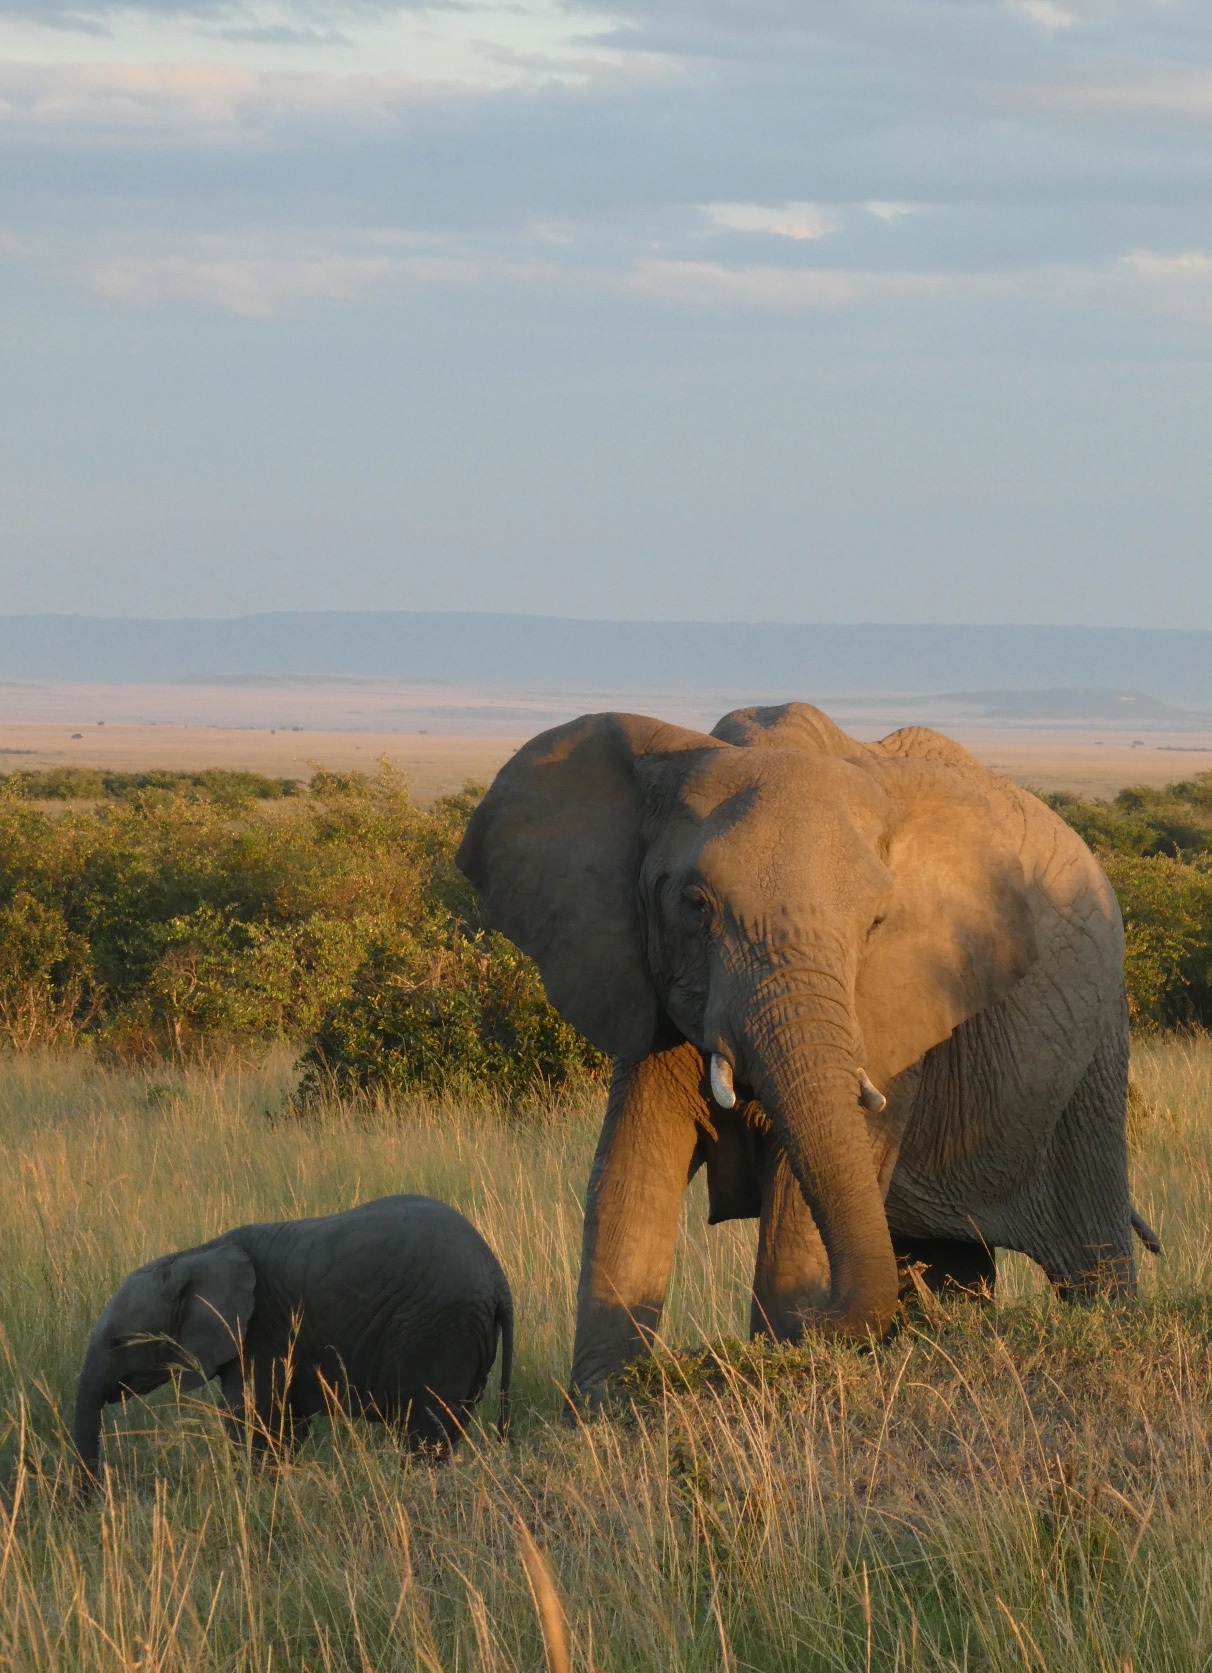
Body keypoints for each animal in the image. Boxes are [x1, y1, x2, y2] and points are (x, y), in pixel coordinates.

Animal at [73, 1195, 513, 1480]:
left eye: (119, 1344)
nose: (90, 1502)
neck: (195, 1255)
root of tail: (497, 1276)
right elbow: (284, 1421)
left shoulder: (262, 1331)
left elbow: (249, 1413)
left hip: (440, 1331)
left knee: (425, 1430)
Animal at [456, 702, 1157, 1405]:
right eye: (694, 904)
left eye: (875, 924)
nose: (820, 1321)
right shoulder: (646, 979)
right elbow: (633, 1167)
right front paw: (607, 1403)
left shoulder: (893, 1004)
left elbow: (800, 1188)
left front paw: (785, 1353)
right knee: (955, 1263)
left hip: (1094, 1052)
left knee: (1091, 1256)